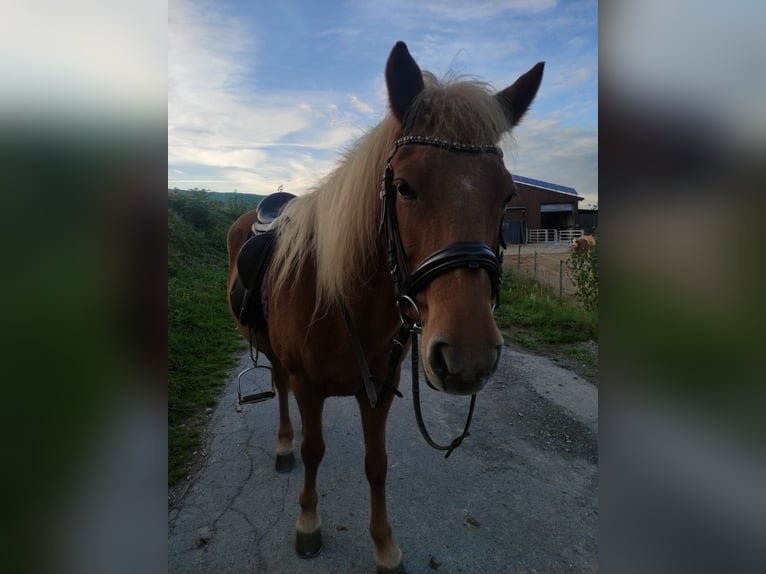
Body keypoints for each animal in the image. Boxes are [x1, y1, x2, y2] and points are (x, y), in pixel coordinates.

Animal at [226, 41, 543, 574]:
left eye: (508, 195)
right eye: (404, 187)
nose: (469, 357)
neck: (341, 301)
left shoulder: (379, 389)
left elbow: (377, 466)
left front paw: (384, 546)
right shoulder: (310, 386)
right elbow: (314, 450)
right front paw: (307, 523)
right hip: (273, 351)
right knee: (280, 387)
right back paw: (283, 444)